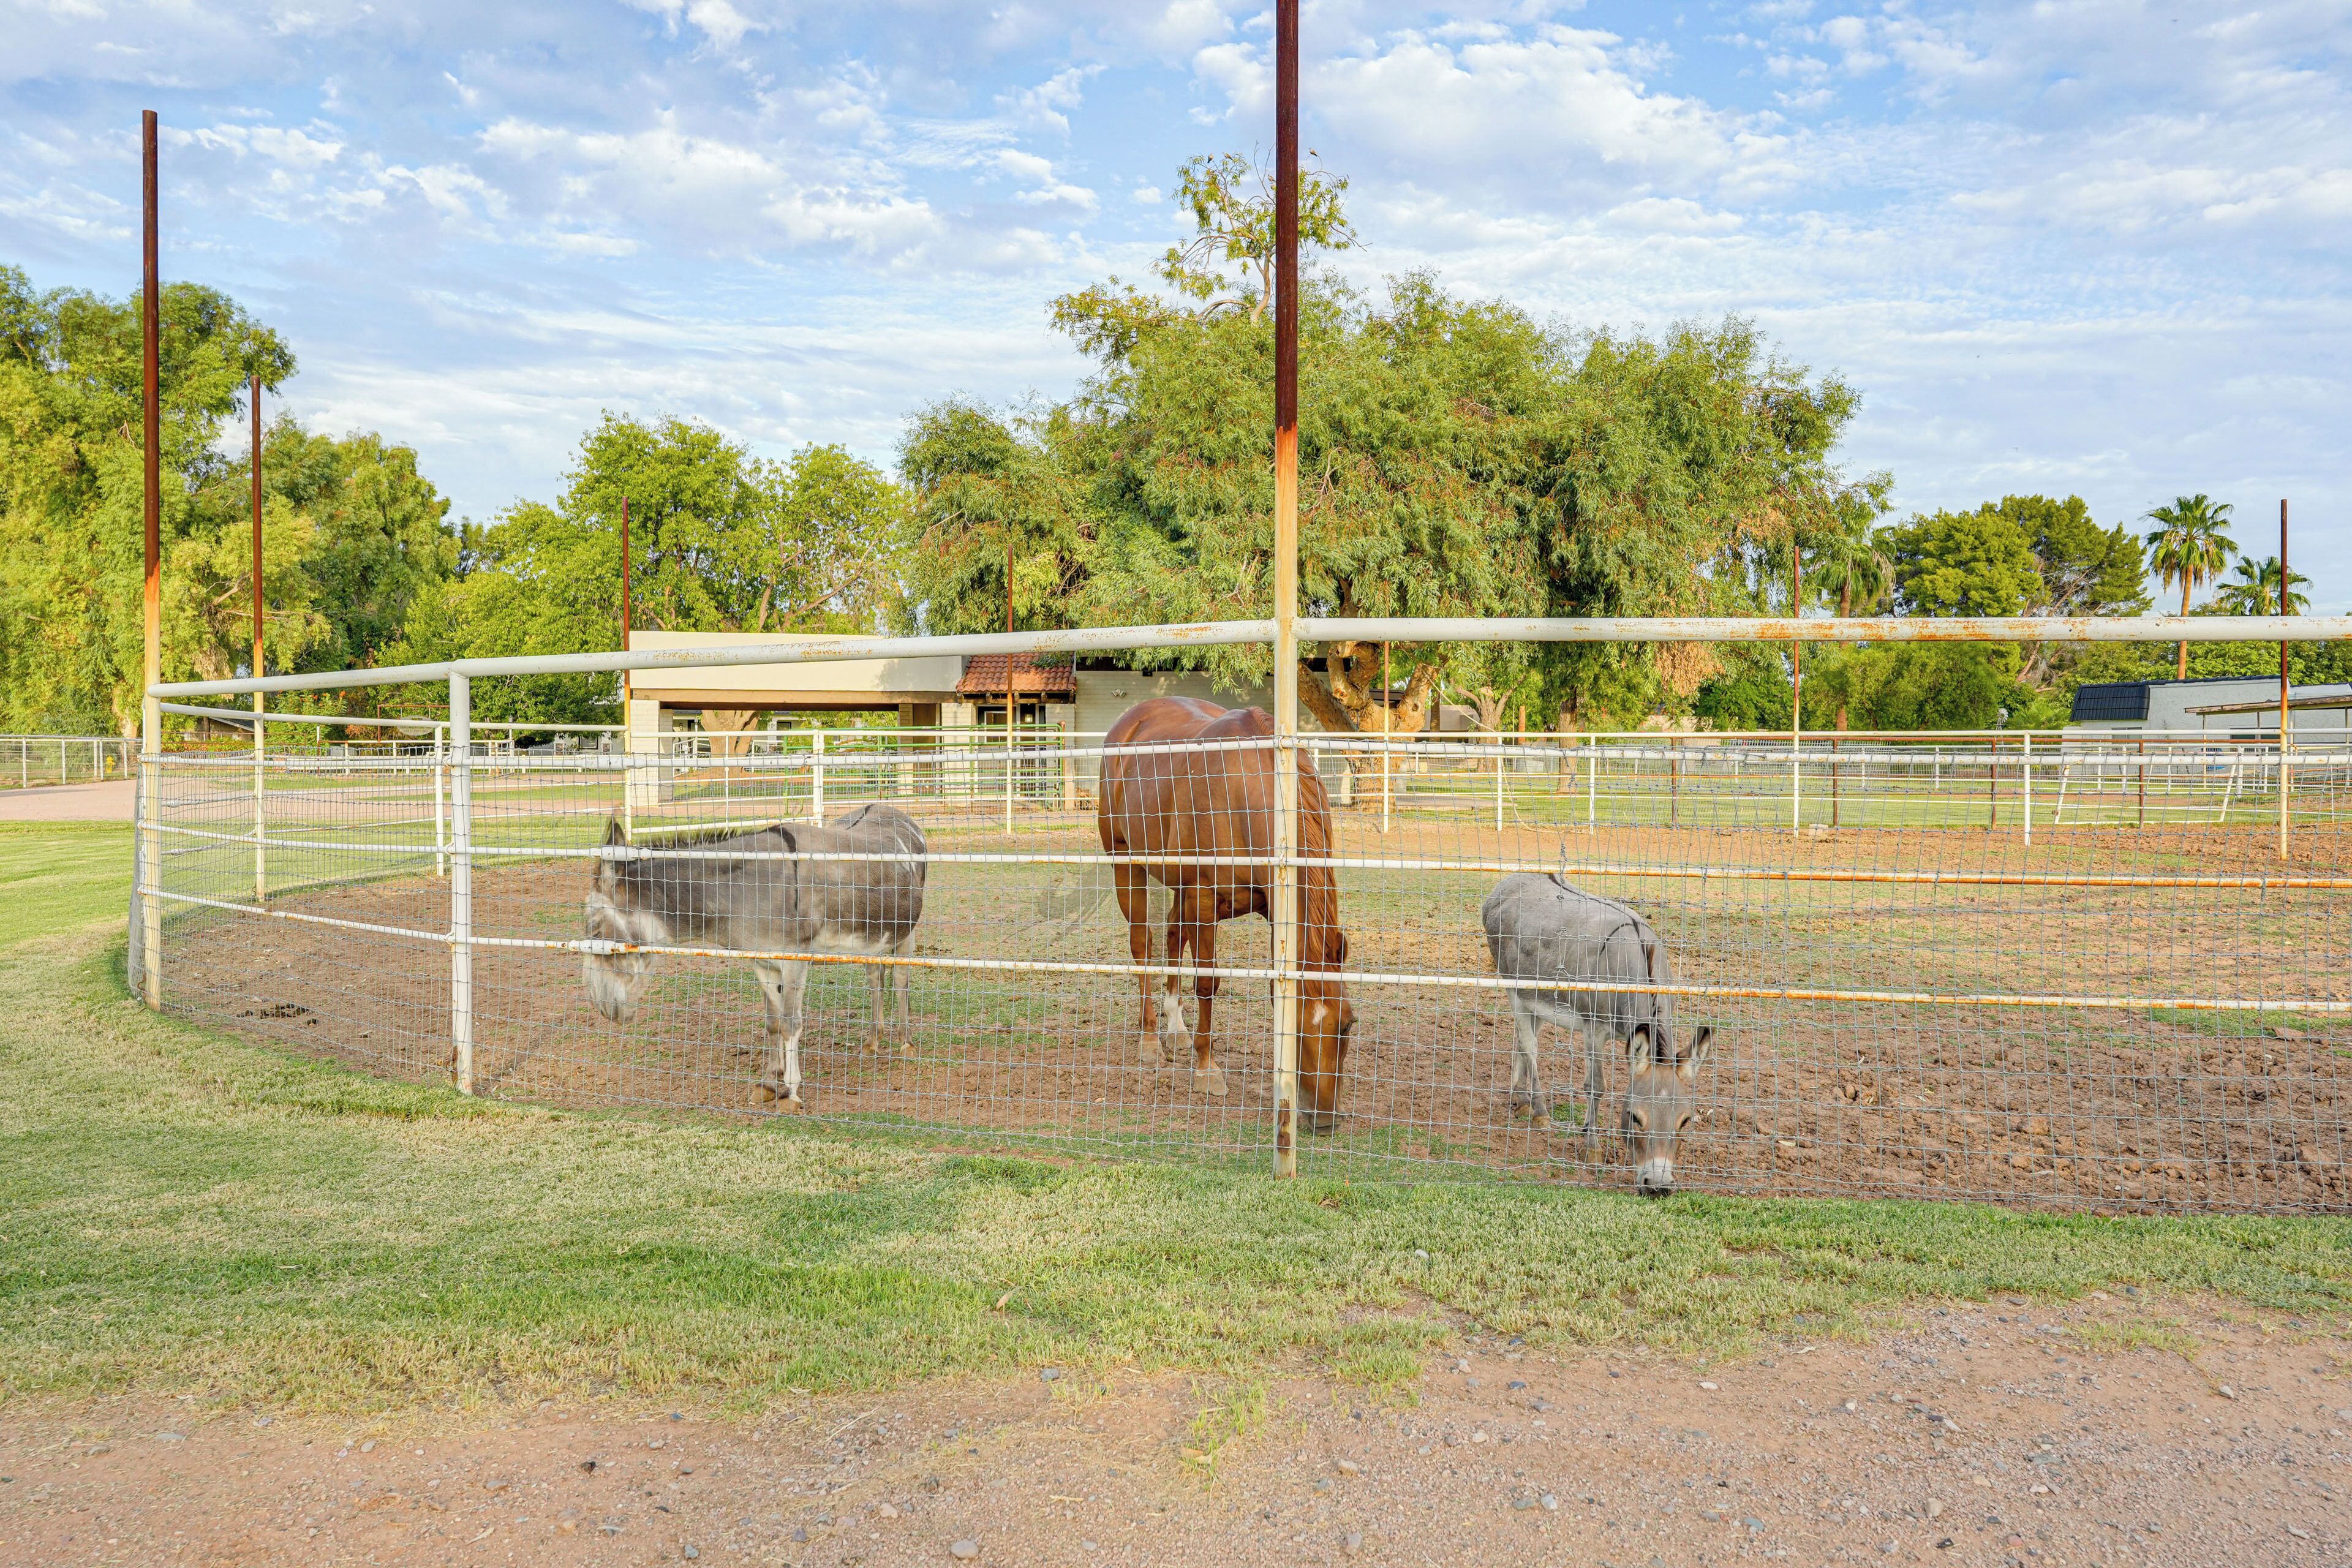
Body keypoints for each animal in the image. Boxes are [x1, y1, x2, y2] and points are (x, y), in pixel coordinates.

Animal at [580, 804, 927, 1110]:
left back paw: (907, 1044)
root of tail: (891, 809)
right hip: (875, 938)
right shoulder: (761, 961)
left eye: (595, 931)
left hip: (906, 933)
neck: (744, 891)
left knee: (901, 979)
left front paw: (792, 1093)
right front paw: (769, 1083)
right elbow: (772, 1022)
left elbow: (790, 1024)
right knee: (875, 977)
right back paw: (873, 1042)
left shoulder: (794, 962)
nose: (602, 1008)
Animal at [1096, 697, 1356, 1131]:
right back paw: (1150, 1041)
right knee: (1143, 947)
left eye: (1347, 1024)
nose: (1323, 1119)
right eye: (1293, 1029)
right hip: (1126, 863)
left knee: (1172, 935)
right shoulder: (1203, 896)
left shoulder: (1270, 906)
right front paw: (1207, 1071)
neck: (1246, 786)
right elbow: (1207, 983)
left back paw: (1176, 1029)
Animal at [1480, 871, 1713, 1195]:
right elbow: (1596, 1086)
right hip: (1514, 987)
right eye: (1634, 1117)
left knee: (1522, 1040)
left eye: (1685, 1121)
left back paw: (1521, 1100)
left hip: (1535, 998)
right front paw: (1592, 1148)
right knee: (1529, 1045)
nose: (1658, 1187)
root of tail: (1509, 882)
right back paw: (1539, 1112)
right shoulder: (1594, 1028)